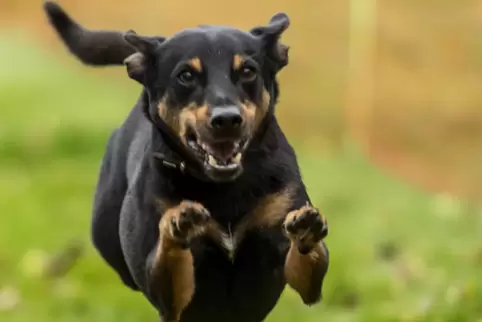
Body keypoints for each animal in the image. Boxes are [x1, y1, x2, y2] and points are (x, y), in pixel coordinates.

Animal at [43, 1, 330, 320]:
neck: (223, 186)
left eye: (247, 71)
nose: (227, 119)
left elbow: (308, 268)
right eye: (186, 76)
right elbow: (167, 262)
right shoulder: (167, 296)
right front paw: (177, 223)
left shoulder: (298, 269)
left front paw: (306, 231)